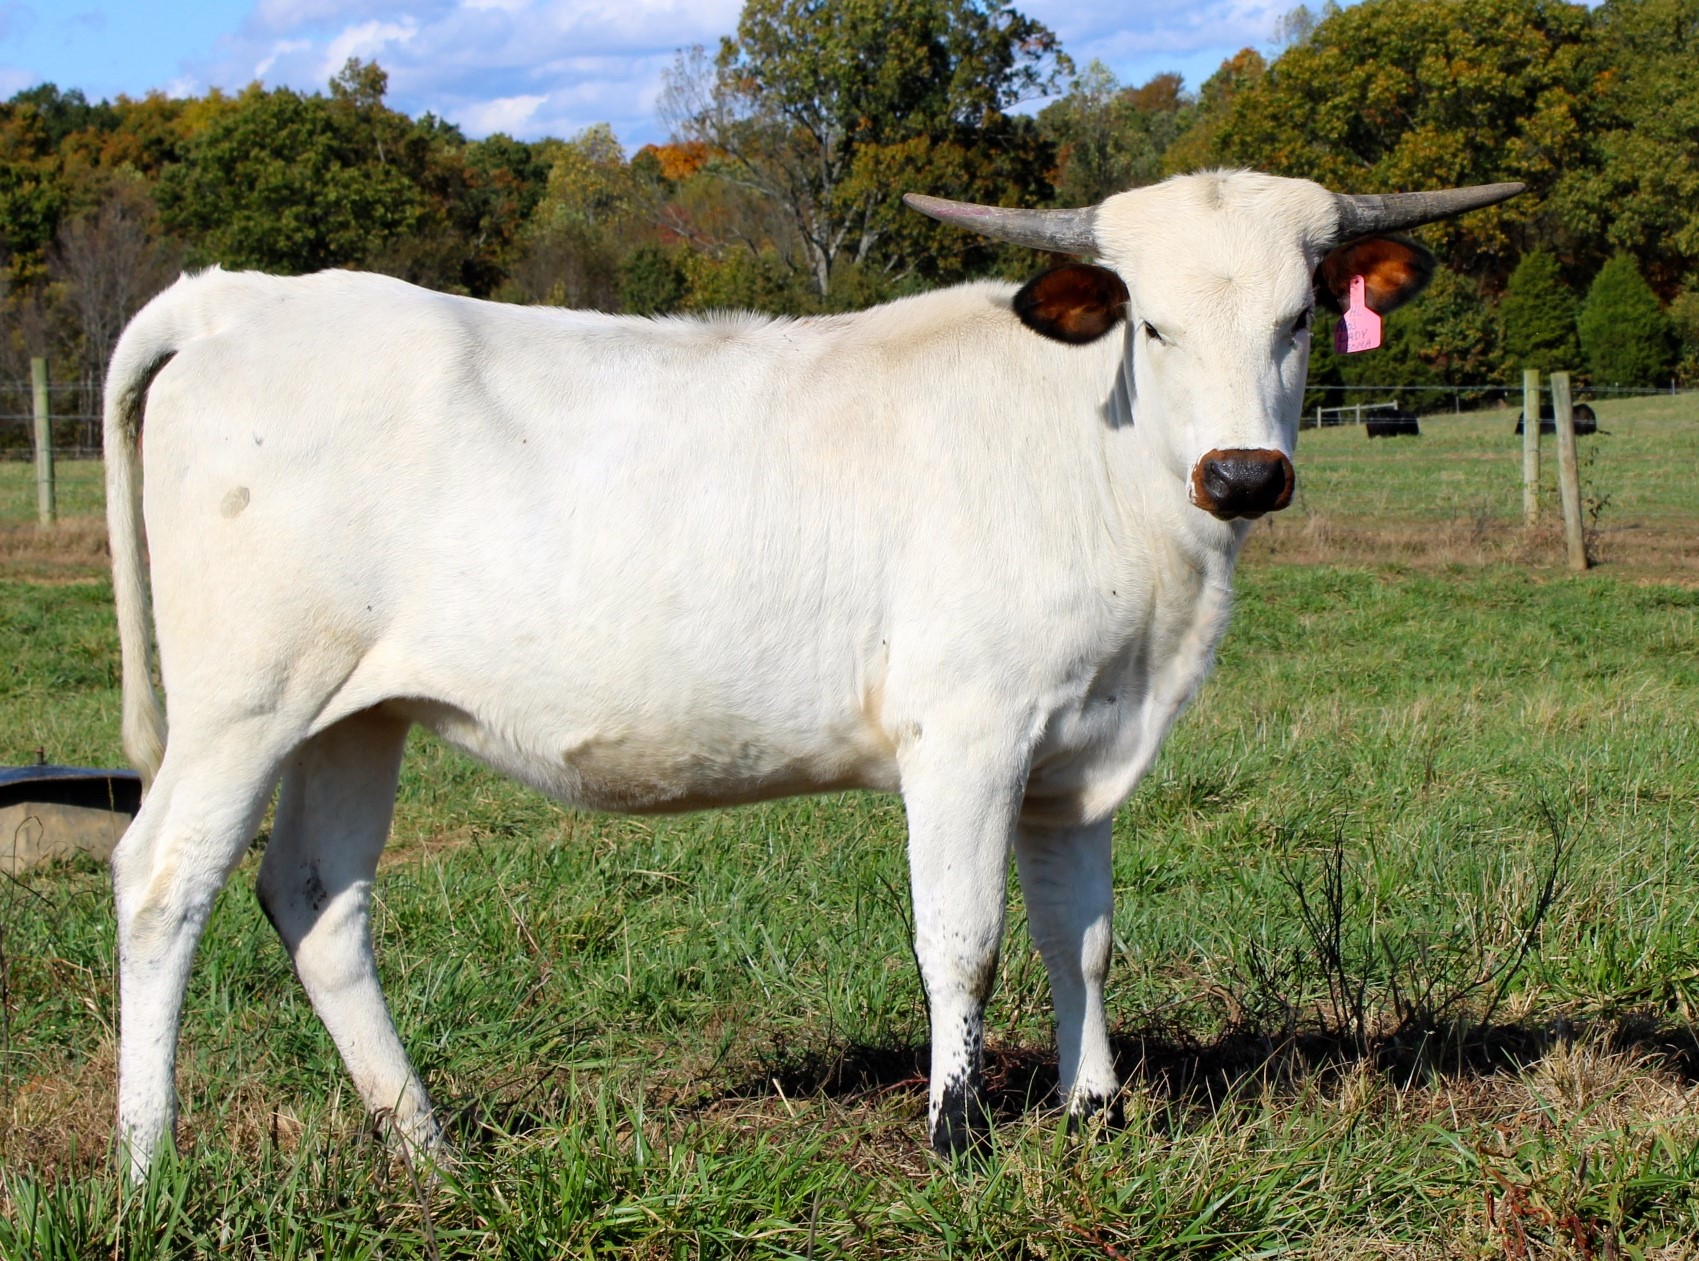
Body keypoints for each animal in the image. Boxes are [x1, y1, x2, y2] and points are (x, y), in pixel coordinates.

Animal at [102, 170, 1521, 1177]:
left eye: (1298, 318)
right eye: (1155, 325)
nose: (1242, 474)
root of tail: (245, 295)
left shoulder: (1075, 749)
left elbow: (1082, 934)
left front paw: (1094, 1110)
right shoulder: (967, 729)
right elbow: (965, 938)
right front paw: (958, 1134)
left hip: (356, 710)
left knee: (316, 899)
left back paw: (428, 1148)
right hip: (242, 698)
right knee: (164, 881)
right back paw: (149, 1165)